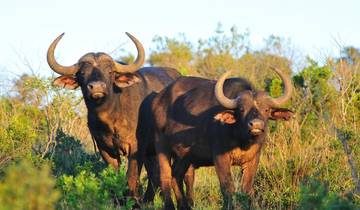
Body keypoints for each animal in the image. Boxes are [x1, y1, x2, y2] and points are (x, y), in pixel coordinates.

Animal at [46, 32, 181, 202]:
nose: (97, 87)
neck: (111, 119)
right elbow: (115, 177)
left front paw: (132, 201)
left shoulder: (136, 147)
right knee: (154, 175)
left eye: (110, 72)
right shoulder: (105, 149)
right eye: (82, 73)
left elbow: (131, 177)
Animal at [150, 68, 294, 209]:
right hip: (161, 146)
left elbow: (247, 189)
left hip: (185, 156)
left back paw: (184, 206)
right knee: (165, 176)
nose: (256, 125)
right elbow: (227, 187)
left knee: (176, 175)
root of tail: (158, 100)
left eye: (266, 109)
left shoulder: (253, 159)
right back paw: (170, 206)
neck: (242, 140)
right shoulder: (220, 158)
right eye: (241, 109)